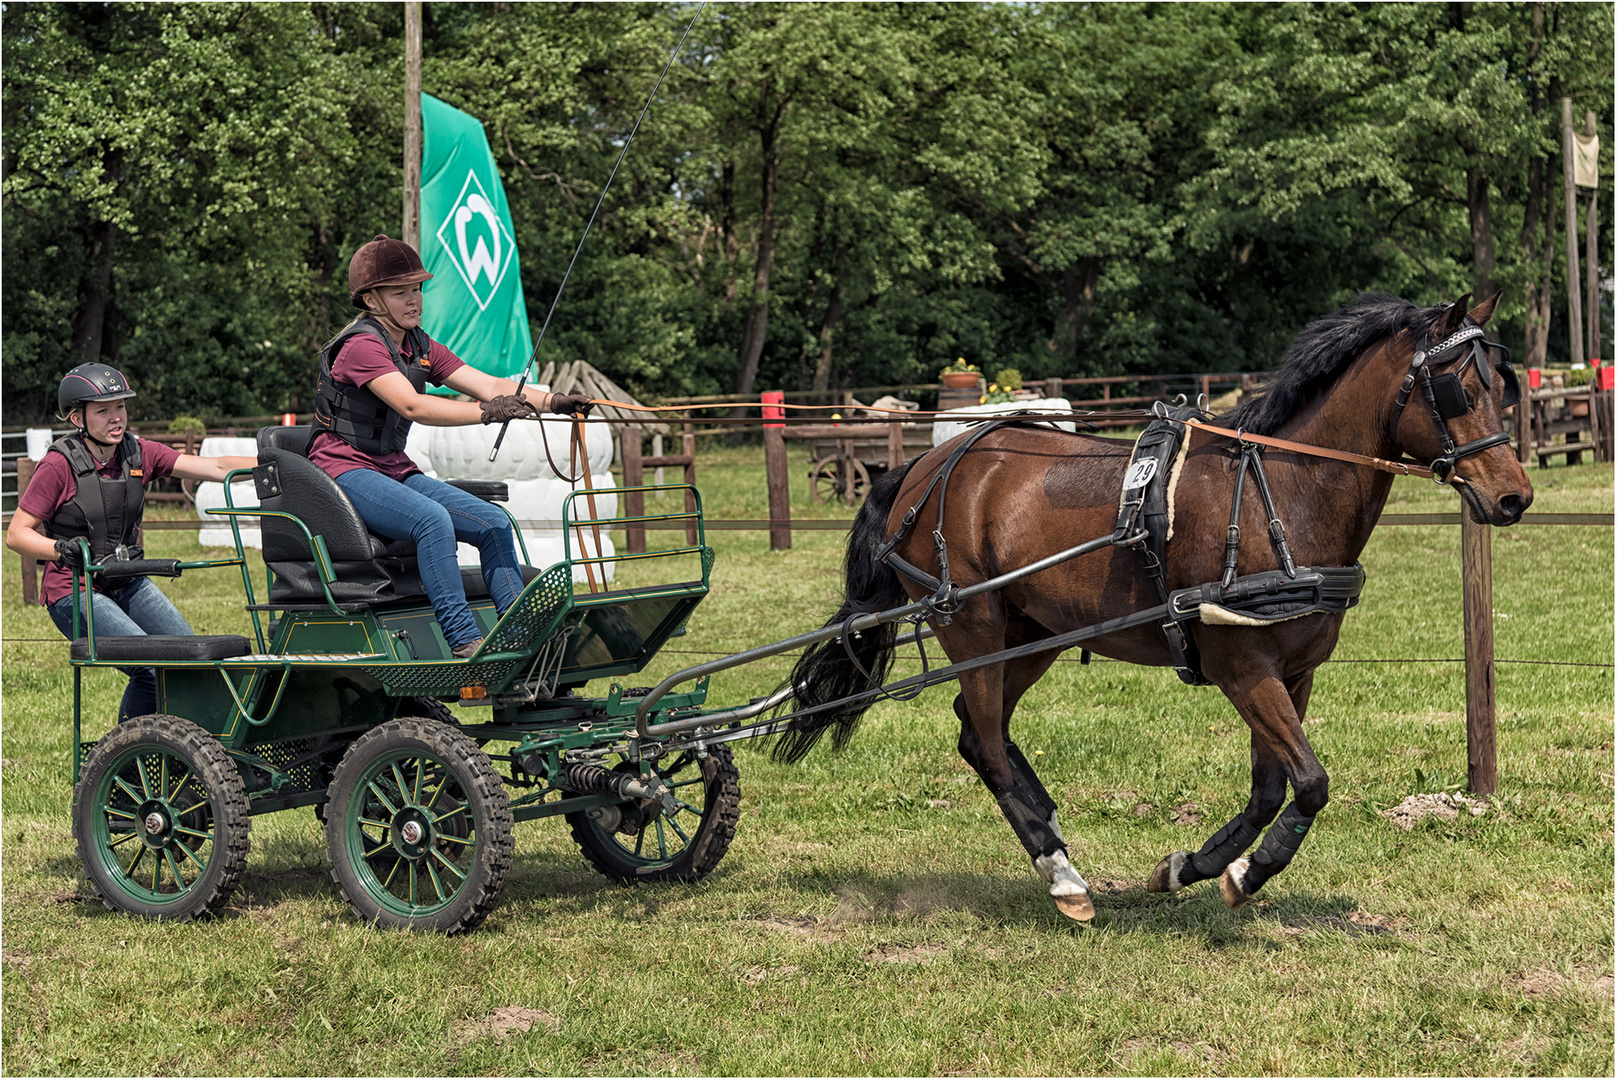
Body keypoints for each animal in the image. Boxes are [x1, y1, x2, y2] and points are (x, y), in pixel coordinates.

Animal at [776, 292, 1532, 918]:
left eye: (1502, 386)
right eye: (1457, 388)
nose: (1513, 497)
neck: (1277, 492)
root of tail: (928, 465)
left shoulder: (1293, 672)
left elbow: (1270, 788)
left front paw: (1189, 867)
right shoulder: (1242, 668)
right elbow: (1311, 782)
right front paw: (1244, 874)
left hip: (1034, 633)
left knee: (974, 729)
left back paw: (1054, 835)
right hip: (973, 628)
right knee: (986, 744)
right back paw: (1061, 876)